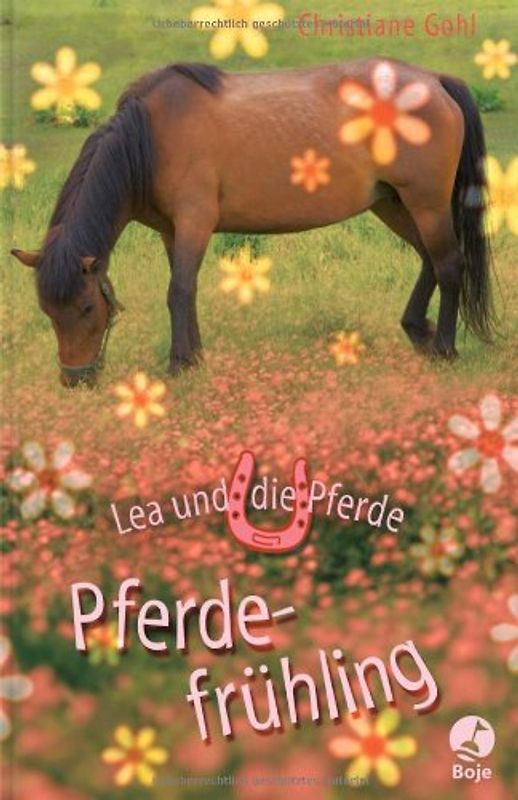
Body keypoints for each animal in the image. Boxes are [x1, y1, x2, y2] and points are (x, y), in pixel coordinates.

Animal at [11, 59, 493, 386]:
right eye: (47, 311)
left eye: (87, 307)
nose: (75, 379)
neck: (150, 138)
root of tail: (435, 81)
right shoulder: (173, 231)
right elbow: (185, 289)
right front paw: (196, 358)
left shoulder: (194, 222)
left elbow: (178, 290)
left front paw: (179, 365)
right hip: (393, 203)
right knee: (431, 261)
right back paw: (418, 332)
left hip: (425, 202)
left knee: (449, 265)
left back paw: (445, 348)